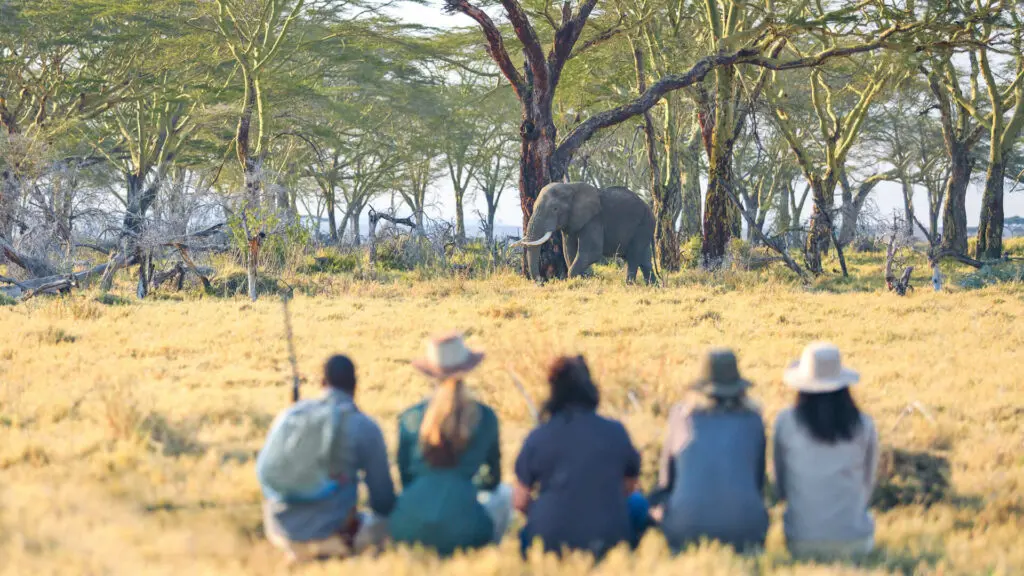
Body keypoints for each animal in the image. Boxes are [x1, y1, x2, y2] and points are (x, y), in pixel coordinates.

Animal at [517, 182, 657, 284]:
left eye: (555, 209)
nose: (541, 281)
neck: (571, 187)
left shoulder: (594, 220)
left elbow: (591, 252)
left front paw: (577, 280)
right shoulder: (570, 224)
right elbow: (569, 252)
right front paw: (582, 280)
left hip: (643, 226)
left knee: (633, 257)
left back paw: (629, 285)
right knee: (645, 261)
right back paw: (653, 286)